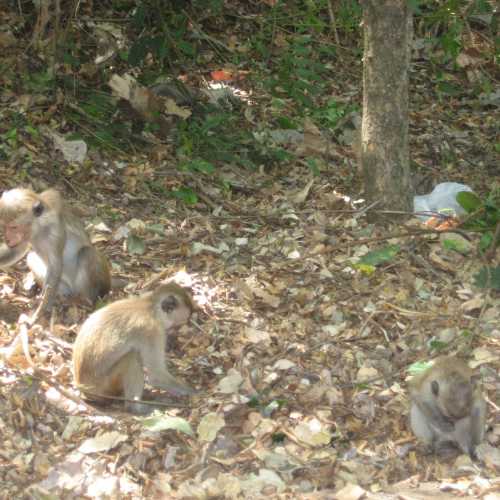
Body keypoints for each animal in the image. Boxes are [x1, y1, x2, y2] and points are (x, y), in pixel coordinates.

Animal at [0, 188, 110, 320]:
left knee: (87, 253)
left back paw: (84, 300)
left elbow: (55, 266)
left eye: (14, 227)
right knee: (31, 257)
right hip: (64, 287)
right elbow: (15, 251)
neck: (39, 228)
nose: (7, 239)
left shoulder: (55, 232)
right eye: (4, 226)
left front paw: (40, 310)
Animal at [72, 282, 197, 414]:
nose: (175, 334)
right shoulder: (152, 331)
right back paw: (135, 407)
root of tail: (82, 389)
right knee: (132, 357)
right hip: (104, 386)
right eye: (179, 325)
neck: (150, 307)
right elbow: (156, 377)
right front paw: (197, 393)